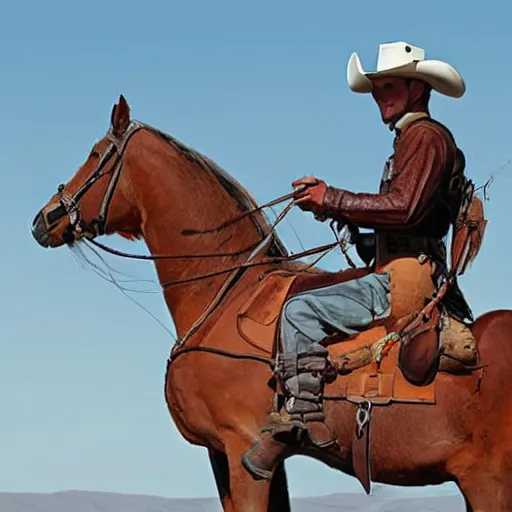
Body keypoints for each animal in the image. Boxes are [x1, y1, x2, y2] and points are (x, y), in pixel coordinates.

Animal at [31, 94, 512, 510]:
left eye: (96, 154)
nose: (44, 219)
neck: (228, 294)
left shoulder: (244, 450)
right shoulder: (228, 457)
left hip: (486, 483)